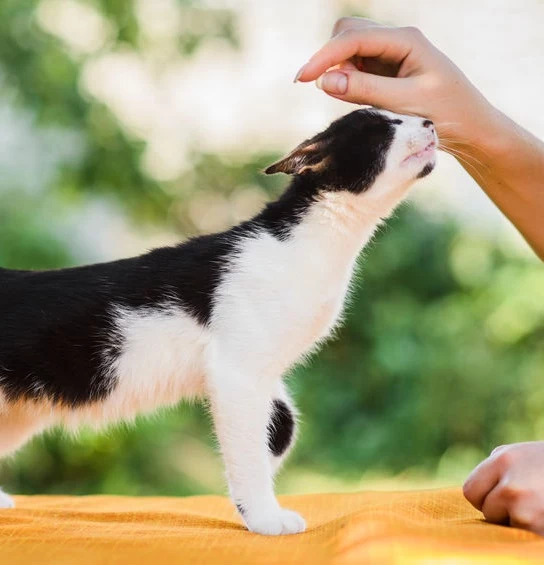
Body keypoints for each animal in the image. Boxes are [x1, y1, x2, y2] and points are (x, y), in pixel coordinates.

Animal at [0, 109, 436, 532]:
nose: (430, 122)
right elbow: (248, 446)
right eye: (384, 127)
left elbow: (281, 426)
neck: (303, 243)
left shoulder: (259, 372)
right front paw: (263, 517)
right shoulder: (236, 372)